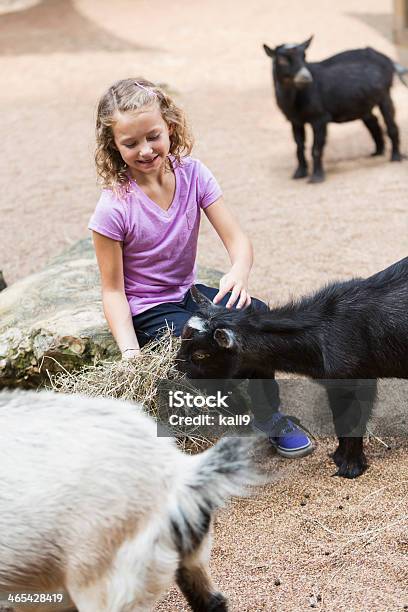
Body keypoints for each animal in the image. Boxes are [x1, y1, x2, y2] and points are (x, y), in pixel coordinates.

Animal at [177, 256, 408, 480]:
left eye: (200, 354)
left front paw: (349, 468)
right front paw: (339, 457)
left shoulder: (356, 381)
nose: (177, 371)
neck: (321, 330)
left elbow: (352, 420)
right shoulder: (336, 385)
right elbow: (340, 420)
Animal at [262, 37, 406, 182]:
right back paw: (378, 152)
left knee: (391, 124)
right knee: (373, 121)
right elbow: (299, 146)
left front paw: (317, 177)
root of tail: (387, 59)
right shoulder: (295, 121)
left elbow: (316, 148)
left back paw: (396, 157)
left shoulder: (320, 118)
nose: (305, 77)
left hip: (385, 94)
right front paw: (299, 173)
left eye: (304, 56)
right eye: (282, 60)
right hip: (363, 101)